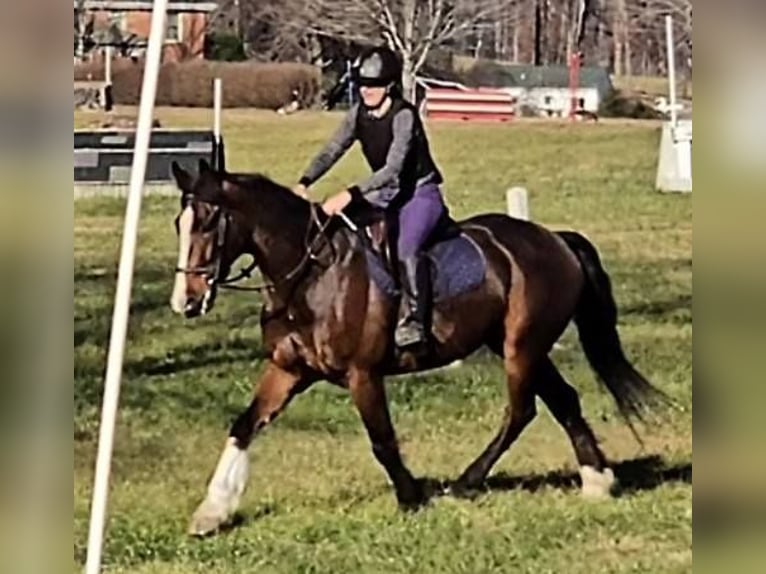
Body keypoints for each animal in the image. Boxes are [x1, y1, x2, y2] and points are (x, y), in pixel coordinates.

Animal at [169, 159, 666, 536]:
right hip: (520, 346)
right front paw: (211, 512)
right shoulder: (288, 370)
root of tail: (556, 238)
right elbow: (244, 426)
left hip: (520, 348)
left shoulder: (362, 374)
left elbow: (382, 441)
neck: (309, 274)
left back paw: (467, 482)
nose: (185, 302)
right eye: (179, 223)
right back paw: (597, 479)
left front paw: (411, 498)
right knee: (563, 400)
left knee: (521, 411)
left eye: (209, 221)